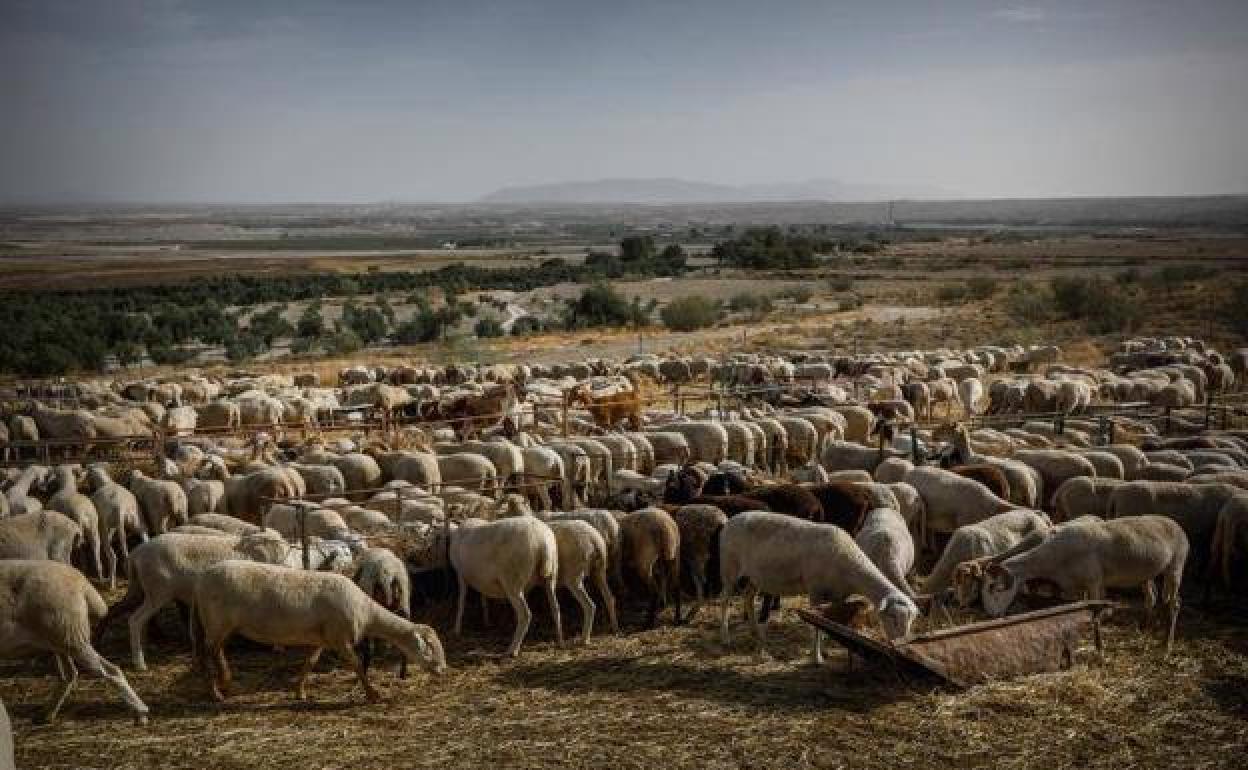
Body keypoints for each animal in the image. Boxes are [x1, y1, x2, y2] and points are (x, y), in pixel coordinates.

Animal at [0, 561, 149, 723]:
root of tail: (81, 582)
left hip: (72, 635)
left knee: (111, 671)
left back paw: (140, 712)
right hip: (62, 638)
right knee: (69, 675)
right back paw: (47, 714)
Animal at [192, 559, 446, 703]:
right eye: (430, 647)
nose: (443, 670)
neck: (367, 613)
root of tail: (201, 578)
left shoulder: (323, 638)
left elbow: (310, 663)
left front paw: (300, 693)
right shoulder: (340, 638)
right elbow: (356, 665)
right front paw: (372, 694)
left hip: (220, 625)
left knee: (214, 651)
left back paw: (222, 682)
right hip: (217, 622)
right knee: (208, 652)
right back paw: (218, 689)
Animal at [723, 511, 918, 658]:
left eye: (911, 619)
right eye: (892, 618)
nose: (902, 646)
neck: (850, 566)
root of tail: (732, 519)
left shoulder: (839, 596)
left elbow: (830, 621)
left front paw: (826, 645)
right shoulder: (815, 591)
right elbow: (817, 625)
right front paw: (816, 657)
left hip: (753, 576)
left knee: (748, 597)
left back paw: (755, 632)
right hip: (730, 569)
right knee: (726, 600)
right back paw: (725, 637)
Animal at [978, 514, 1183, 653]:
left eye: (993, 587)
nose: (990, 616)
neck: (1054, 557)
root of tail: (1174, 523)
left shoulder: (1094, 583)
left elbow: (1095, 615)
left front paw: (1099, 649)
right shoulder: (1077, 587)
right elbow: (1075, 610)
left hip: (1175, 567)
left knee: (1174, 604)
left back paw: (1167, 644)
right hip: (1147, 573)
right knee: (1151, 598)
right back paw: (1145, 630)